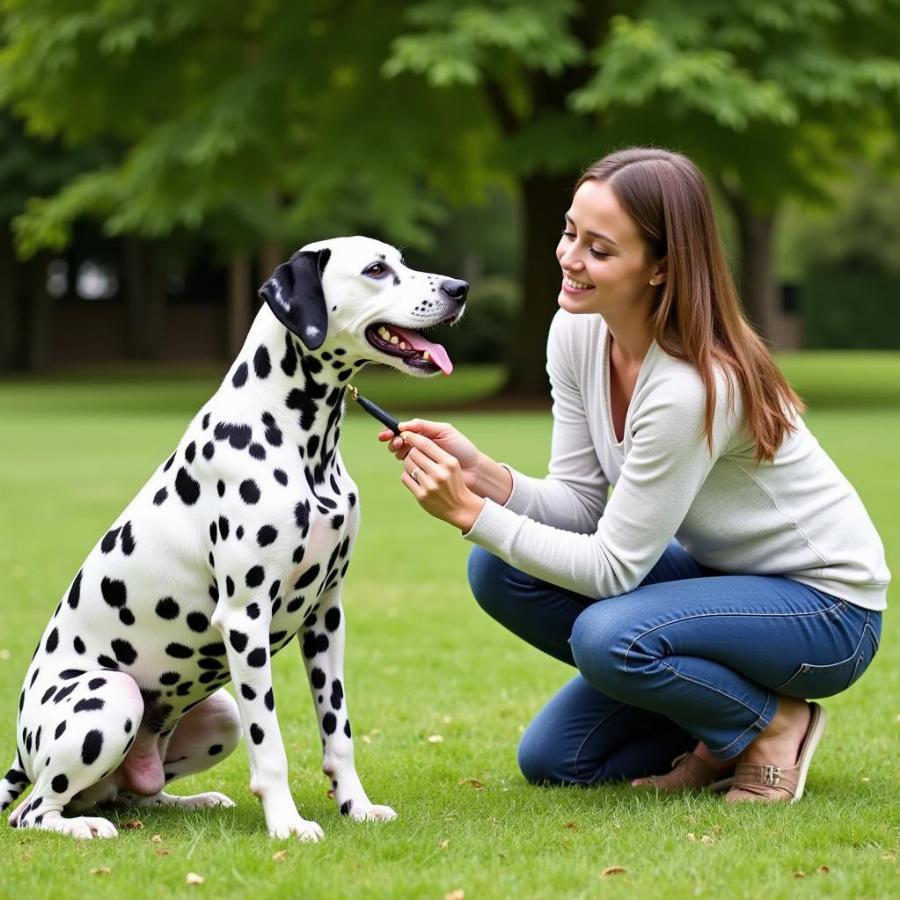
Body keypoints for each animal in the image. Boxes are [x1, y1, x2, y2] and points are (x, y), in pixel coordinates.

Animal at [1, 236, 472, 840]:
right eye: (375, 269)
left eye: (403, 261)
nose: (460, 289)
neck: (300, 441)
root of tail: (20, 748)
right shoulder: (246, 621)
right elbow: (269, 743)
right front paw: (288, 823)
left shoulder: (327, 617)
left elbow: (338, 731)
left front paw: (356, 805)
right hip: (111, 700)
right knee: (34, 810)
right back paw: (81, 827)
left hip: (216, 714)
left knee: (133, 794)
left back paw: (193, 801)